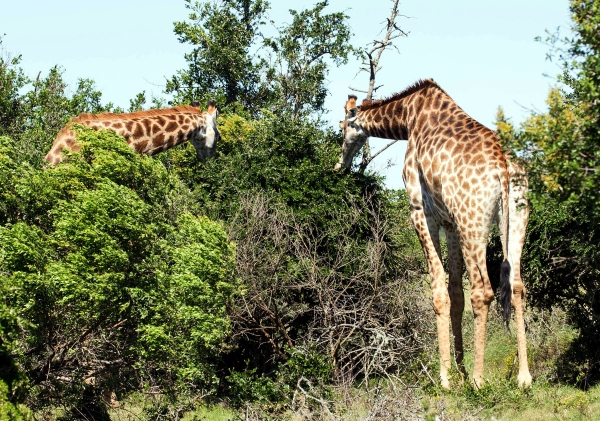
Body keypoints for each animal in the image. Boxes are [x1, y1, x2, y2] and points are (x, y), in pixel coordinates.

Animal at [336, 79, 532, 388]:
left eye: (342, 128)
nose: (340, 164)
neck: (408, 117)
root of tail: (503, 166)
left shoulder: (420, 209)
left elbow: (439, 291)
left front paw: (447, 378)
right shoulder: (449, 222)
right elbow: (456, 293)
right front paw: (459, 371)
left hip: (472, 220)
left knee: (482, 291)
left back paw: (479, 380)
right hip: (517, 215)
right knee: (516, 285)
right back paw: (524, 378)